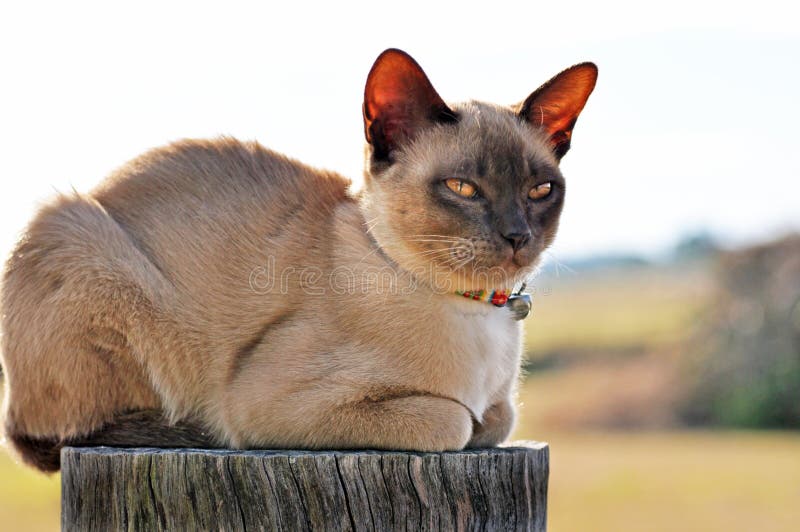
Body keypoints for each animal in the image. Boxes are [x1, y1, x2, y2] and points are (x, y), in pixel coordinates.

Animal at [0, 48, 596, 470]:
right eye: (462, 189)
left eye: (541, 190)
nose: (517, 236)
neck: (475, 312)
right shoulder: (271, 402)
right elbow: (456, 423)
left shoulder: (499, 405)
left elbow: (498, 418)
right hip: (87, 242)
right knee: (58, 434)